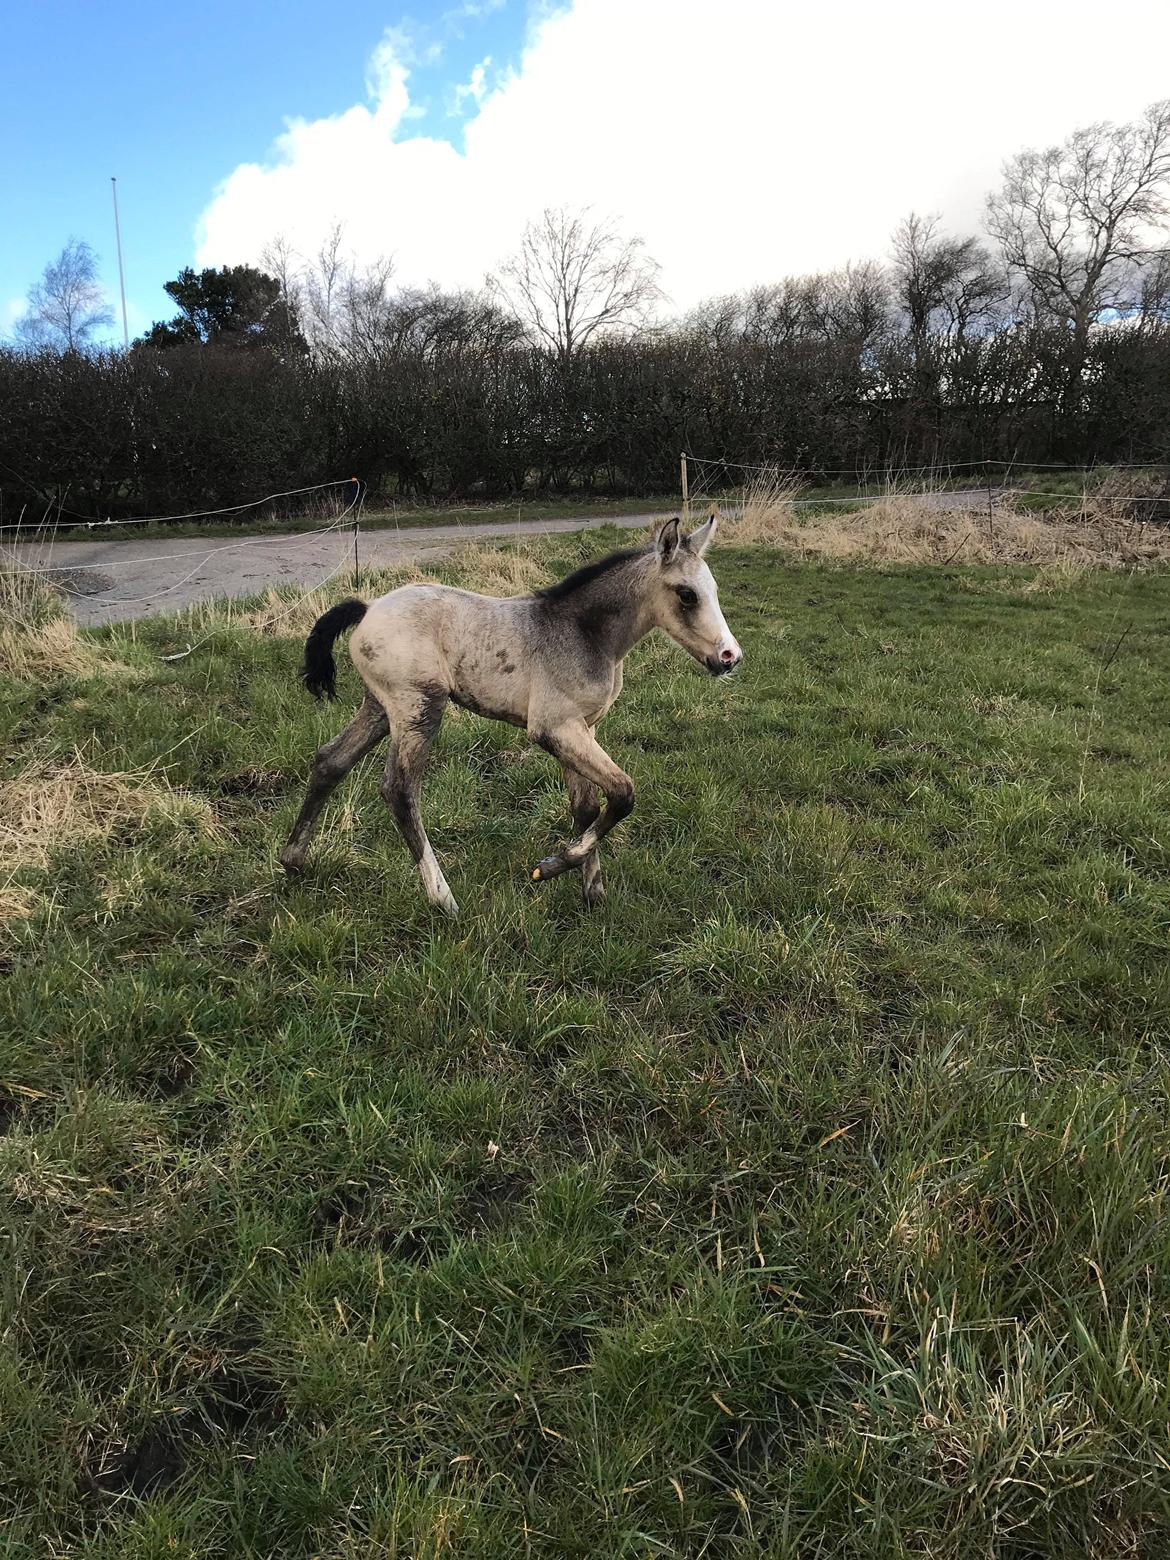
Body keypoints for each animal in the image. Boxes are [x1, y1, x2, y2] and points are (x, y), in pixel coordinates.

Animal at [280, 517, 742, 911]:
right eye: (687, 594)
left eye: (715, 589)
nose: (730, 657)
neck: (583, 633)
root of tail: (369, 606)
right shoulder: (554, 728)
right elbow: (623, 792)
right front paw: (552, 865)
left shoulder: (584, 729)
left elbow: (588, 808)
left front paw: (592, 893)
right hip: (420, 708)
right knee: (399, 790)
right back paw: (442, 898)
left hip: (380, 708)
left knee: (330, 761)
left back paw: (293, 860)